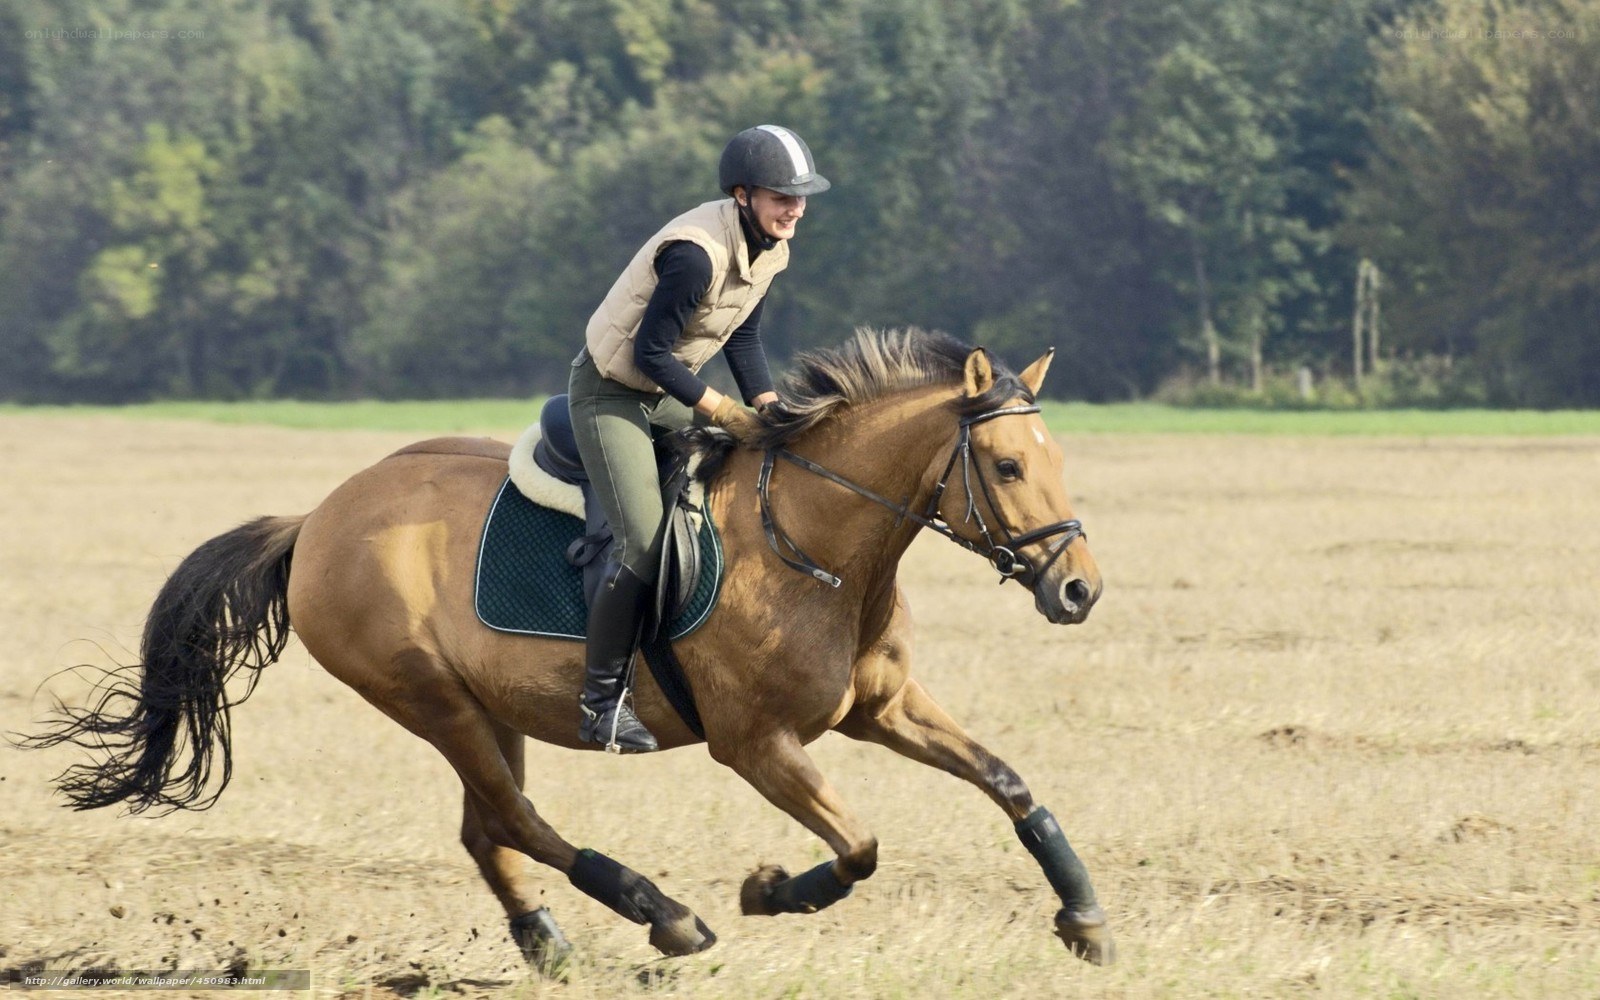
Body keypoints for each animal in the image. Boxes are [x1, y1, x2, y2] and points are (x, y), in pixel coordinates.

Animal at [23, 328, 1113, 970]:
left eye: (1057, 457)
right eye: (1005, 465)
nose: (1078, 589)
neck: (818, 542)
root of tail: (318, 519)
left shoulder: (883, 709)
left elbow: (1010, 784)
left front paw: (1084, 919)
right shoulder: (756, 745)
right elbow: (859, 846)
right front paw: (767, 892)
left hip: (483, 707)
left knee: (487, 827)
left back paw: (548, 942)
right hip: (429, 698)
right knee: (514, 817)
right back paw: (662, 913)